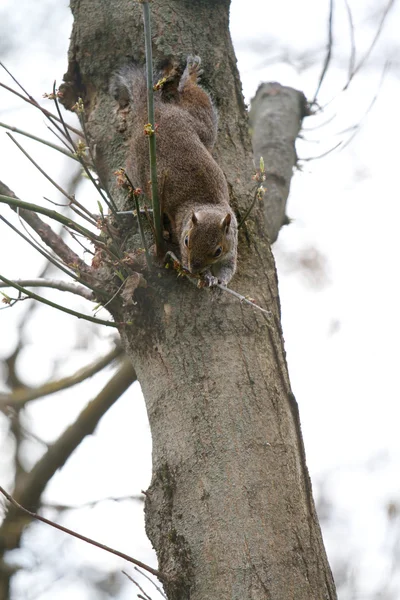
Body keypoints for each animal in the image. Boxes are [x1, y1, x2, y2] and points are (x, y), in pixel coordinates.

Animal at [111, 55, 238, 286]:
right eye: (186, 240)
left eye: (217, 251)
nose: (193, 267)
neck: (204, 204)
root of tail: (154, 113)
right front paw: (205, 276)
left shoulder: (232, 244)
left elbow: (228, 268)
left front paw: (220, 281)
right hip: (143, 161)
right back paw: (190, 75)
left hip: (198, 124)